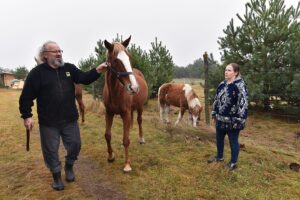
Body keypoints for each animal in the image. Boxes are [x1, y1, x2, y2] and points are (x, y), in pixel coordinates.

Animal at [103, 35, 148, 172]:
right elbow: (107, 135)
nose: (134, 88)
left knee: (139, 121)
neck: (115, 91)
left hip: (140, 107)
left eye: (129, 58)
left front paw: (127, 164)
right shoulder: (109, 113)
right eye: (116, 60)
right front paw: (111, 156)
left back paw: (141, 138)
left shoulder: (126, 114)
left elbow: (126, 139)